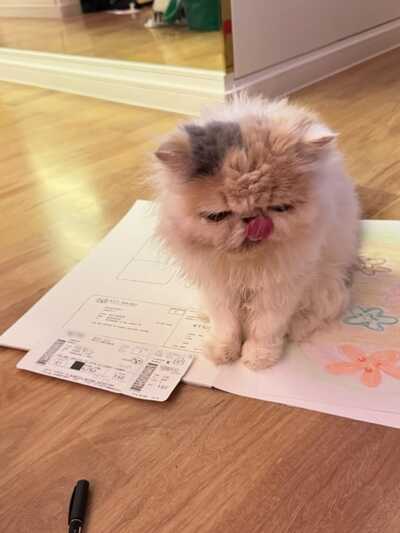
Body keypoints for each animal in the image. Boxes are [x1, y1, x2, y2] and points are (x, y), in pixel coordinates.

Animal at [151, 95, 360, 370]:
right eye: (217, 216)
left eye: (279, 208)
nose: (253, 220)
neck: (246, 267)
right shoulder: (218, 287)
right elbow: (226, 325)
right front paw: (222, 351)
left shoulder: (280, 287)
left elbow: (266, 327)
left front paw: (258, 357)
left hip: (328, 283)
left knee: (315, 314)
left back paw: (294, 328)